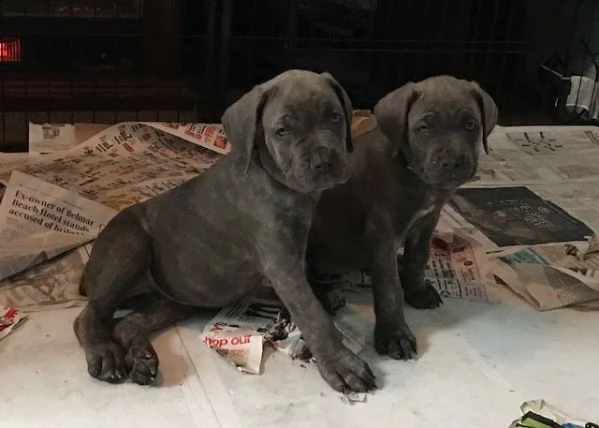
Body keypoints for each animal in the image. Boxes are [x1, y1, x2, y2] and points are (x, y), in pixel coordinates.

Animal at [74, 68, 376, 392]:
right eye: (283, 131)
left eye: (335, 117)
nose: (324, 161)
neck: (278, 180)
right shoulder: (282, 265)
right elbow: (312, 315)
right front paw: (341, 364)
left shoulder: (295, 253)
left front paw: (322, 295)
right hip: (131, 245)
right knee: (89, 315)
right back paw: (105, 353)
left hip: (177, 299)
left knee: (128, 323)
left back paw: (142, 359)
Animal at [308, 74, 500, 358]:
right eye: (424, 128)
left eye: (470, 125)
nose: (452, 163)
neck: (413, 173)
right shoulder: (383, 231)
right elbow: (389, 289)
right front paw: (394, 333)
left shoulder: (426, 222)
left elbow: (418, 258)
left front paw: (416, 290)